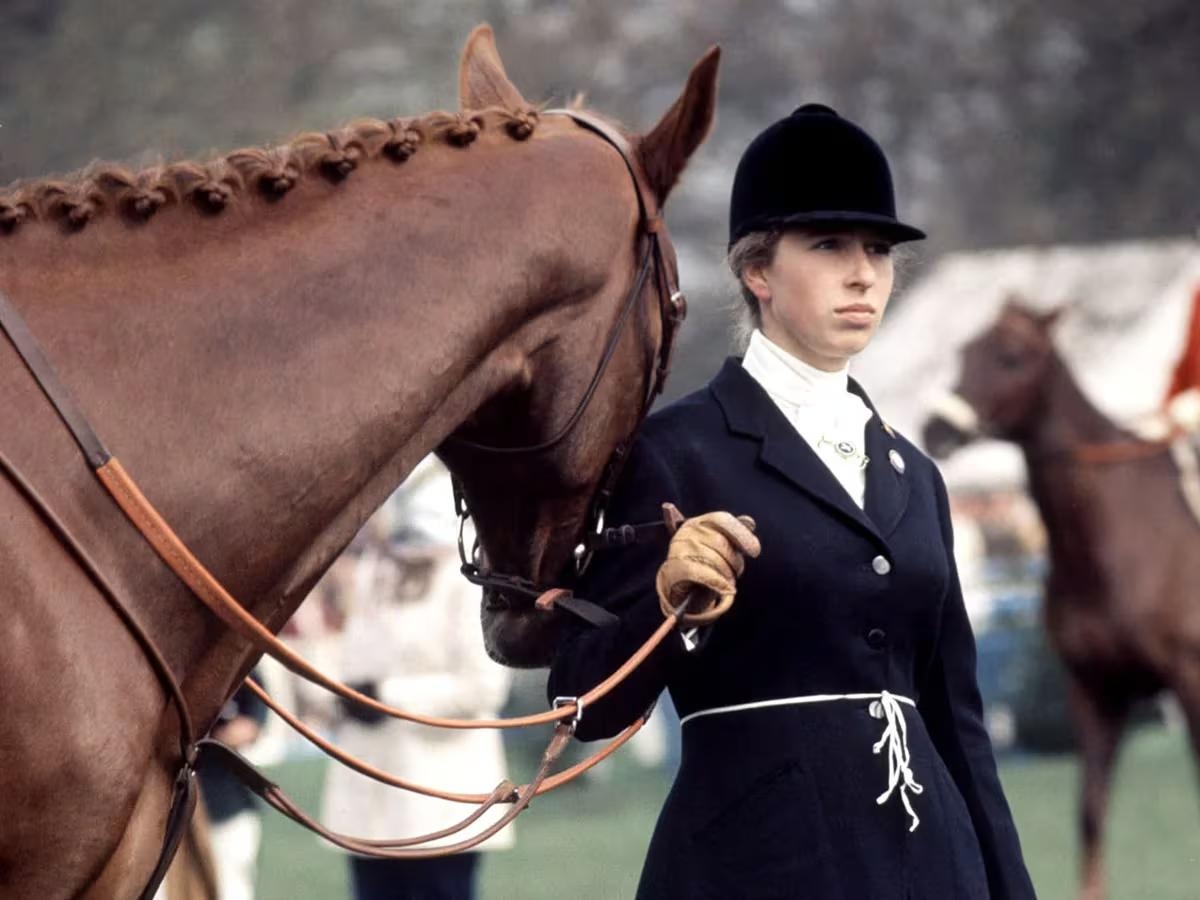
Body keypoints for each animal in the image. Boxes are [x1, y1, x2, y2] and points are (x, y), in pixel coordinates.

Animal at [922, 300, 1200, 900]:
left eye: (1010, 357)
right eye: (964, 351)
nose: (937, 428)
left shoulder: (1189, 678)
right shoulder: (1095, 692)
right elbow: (1089, 816)